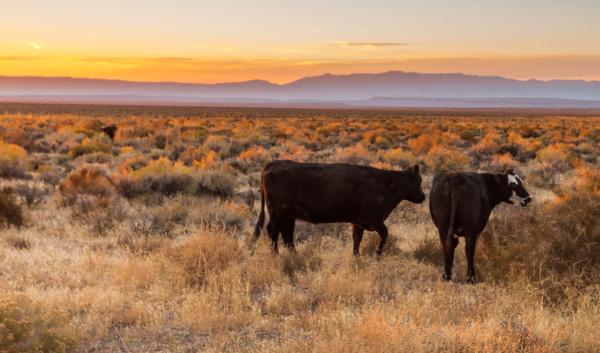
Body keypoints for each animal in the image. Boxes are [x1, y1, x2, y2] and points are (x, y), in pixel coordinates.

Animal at [253, 160, 426, 253]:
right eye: (419, 180)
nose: (423, 196)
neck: (385, 185)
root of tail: (273, 164)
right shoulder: (374, 221)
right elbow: (385, 234)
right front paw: (378, 254)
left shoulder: (358, 222)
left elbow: (356, 240)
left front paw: (356, 257)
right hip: (277, 213)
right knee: (273, 231)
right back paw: (276, 255)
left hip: (288, 215)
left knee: (286, 234)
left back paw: (294, 255)